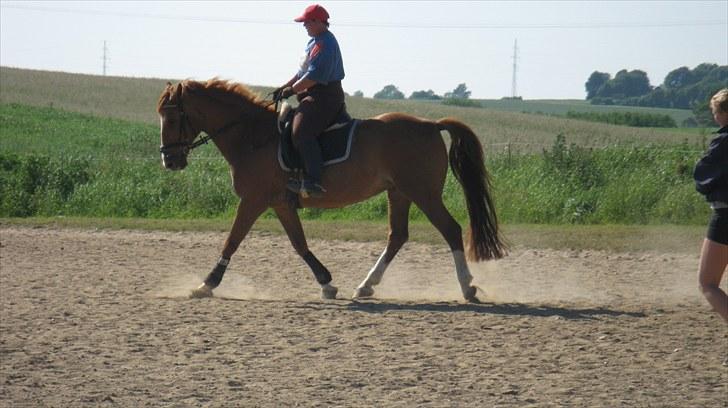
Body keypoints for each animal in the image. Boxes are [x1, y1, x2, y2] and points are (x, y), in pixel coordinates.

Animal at [156, 79, 504, 302]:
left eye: (172, 117)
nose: (169, 160)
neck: (253, 137)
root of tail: (430, 124)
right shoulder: (280, 203)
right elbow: (299, 243)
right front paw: (326, 284)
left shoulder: (253, 200)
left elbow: (232, 241)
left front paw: (207, 284)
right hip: (400, 192)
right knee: (397, 236)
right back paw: (366, 286)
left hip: (423, 193)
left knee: (450, 229)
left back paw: (467, 288)